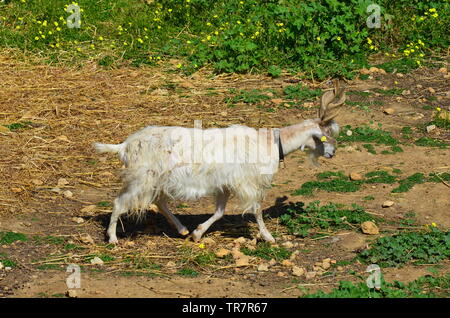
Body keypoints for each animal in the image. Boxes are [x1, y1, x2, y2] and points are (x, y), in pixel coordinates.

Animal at [95, 80, 346, 243]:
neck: (270, 142)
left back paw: (183, 229)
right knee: (119, 202)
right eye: (327, 135)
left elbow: (219, 212)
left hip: (157, 180)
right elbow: (256, 210)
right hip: (141, 178)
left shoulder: (225, 184)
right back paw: (113, 239)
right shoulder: (247, 182)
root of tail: (124, 146)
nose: (332, 153)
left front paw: (197, 234)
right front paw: (269, 237)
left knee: (159, 201)